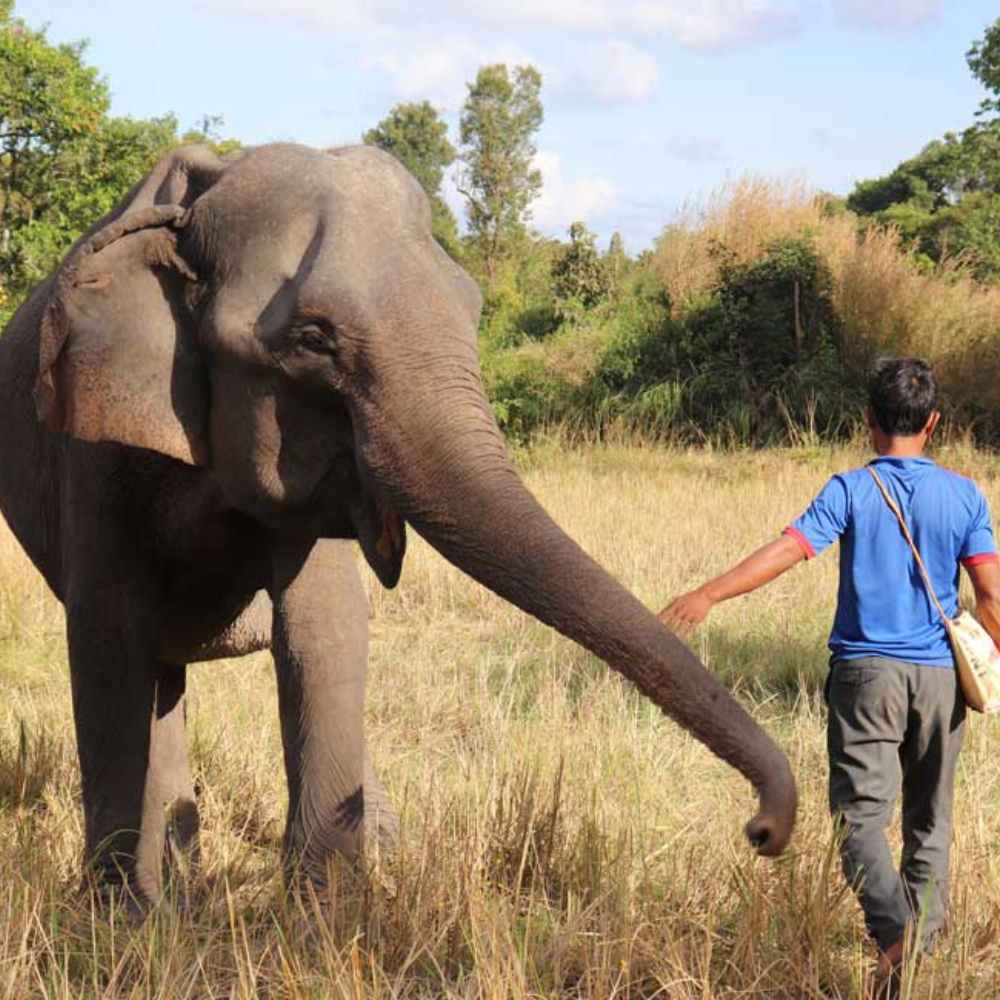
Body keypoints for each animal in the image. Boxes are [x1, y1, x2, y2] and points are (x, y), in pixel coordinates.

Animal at [0, 141, 796, 908]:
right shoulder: (90, 444)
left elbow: (325, 627)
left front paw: (329, 907)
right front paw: (122, 917)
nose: (762, 831)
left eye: (472, 308)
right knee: (157, 667)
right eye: (313, 338)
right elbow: (109, 636)